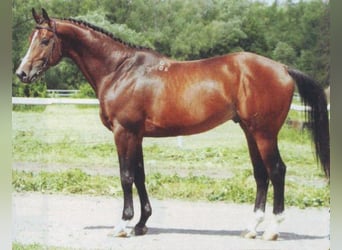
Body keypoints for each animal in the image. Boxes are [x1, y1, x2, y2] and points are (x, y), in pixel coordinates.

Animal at [15, 8, 328, 241]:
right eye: (31, 37)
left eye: (45, 40)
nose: (22, 73)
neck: (120, 70)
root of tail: (283, 68)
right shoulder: (137, 135)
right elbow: (139, 175)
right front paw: (141, 223)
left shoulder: (124, 132)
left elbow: (126, 176)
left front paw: (123, 225)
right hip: (250, 132)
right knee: (261, 175)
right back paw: (251, 228)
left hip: (264, 134)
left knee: (276, 171)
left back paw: (272, 230)